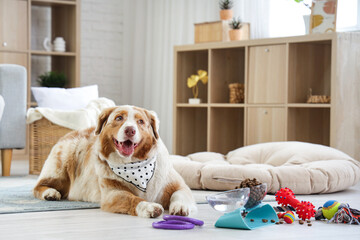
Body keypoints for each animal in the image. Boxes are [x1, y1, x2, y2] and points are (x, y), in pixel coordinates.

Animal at [33, 105, 197, 218]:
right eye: (119, 118)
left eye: (140, 121)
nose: (130, 130)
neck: (133, 164)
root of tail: (72, 132)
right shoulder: (112, 193)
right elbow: (132, 198)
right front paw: (149, 207)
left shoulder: (176, 184)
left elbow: (180, 193)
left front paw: (180, 207)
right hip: (61, 163)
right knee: (38, 186)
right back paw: (50, 193)